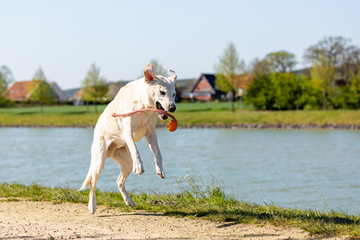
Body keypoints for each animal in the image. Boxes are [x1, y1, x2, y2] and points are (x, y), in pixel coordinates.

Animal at [79, 63, 176, 214]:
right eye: (162, 92)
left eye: (174, 94)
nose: (173, 108)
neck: (143, 106)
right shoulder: (128, 131)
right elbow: (135, 150)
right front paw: (139, 166)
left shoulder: (151, 133)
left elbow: (158, 153)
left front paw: (160, 170)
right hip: (99, 161)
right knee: (92, 184)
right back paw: (92, 206)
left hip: (126, 162)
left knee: (119, 181)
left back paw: (129, 201)